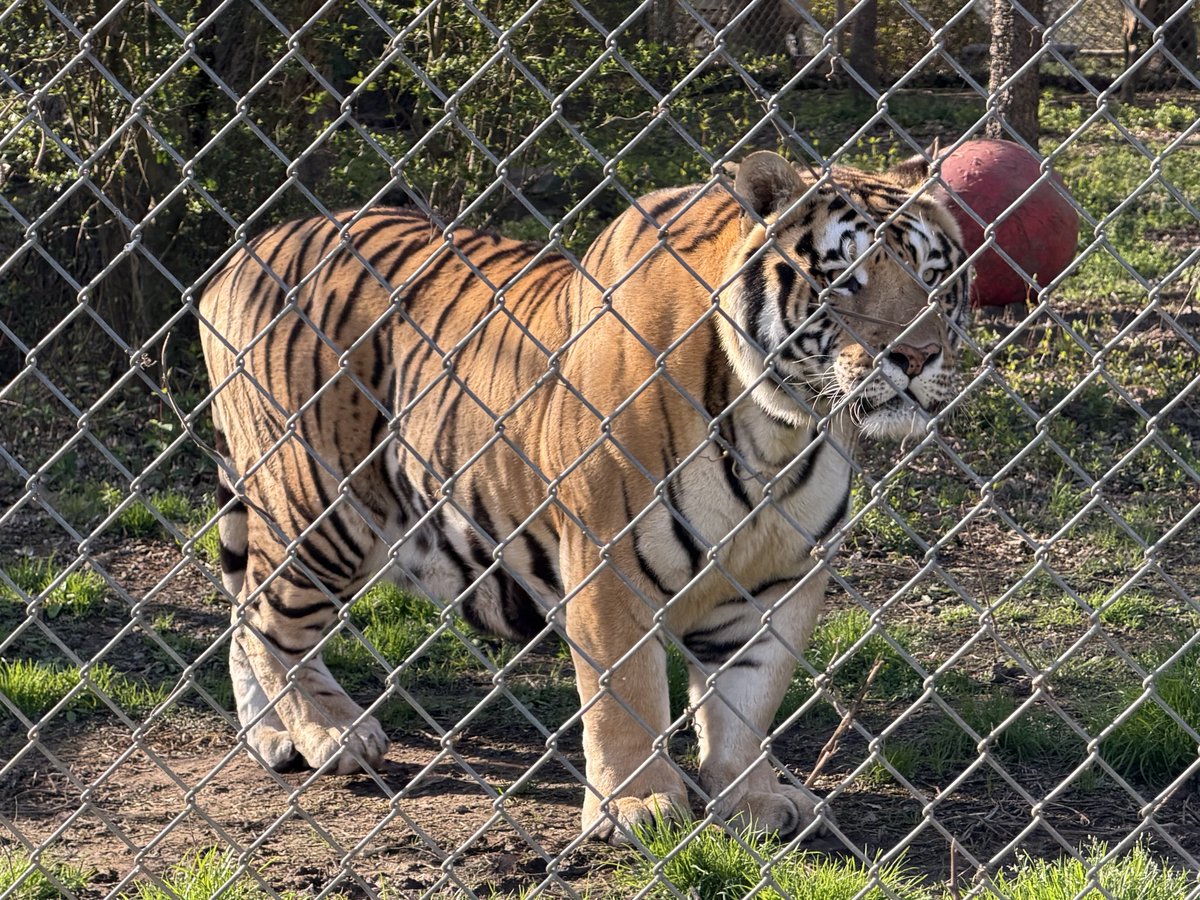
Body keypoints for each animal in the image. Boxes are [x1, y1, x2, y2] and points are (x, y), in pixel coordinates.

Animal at [198, 149, 970, 843]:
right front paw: (638, 806)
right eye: (842, 279)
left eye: (935, 277)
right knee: (270, 619)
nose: (917, 354)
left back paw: (273, 738)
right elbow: (627, 697)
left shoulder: (778, 583)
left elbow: (747, 703)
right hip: (319, 509)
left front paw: (753, 800)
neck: (779, 431)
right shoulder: (609, 565)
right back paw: (330, 732)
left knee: (242, 611)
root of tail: (242, 255)